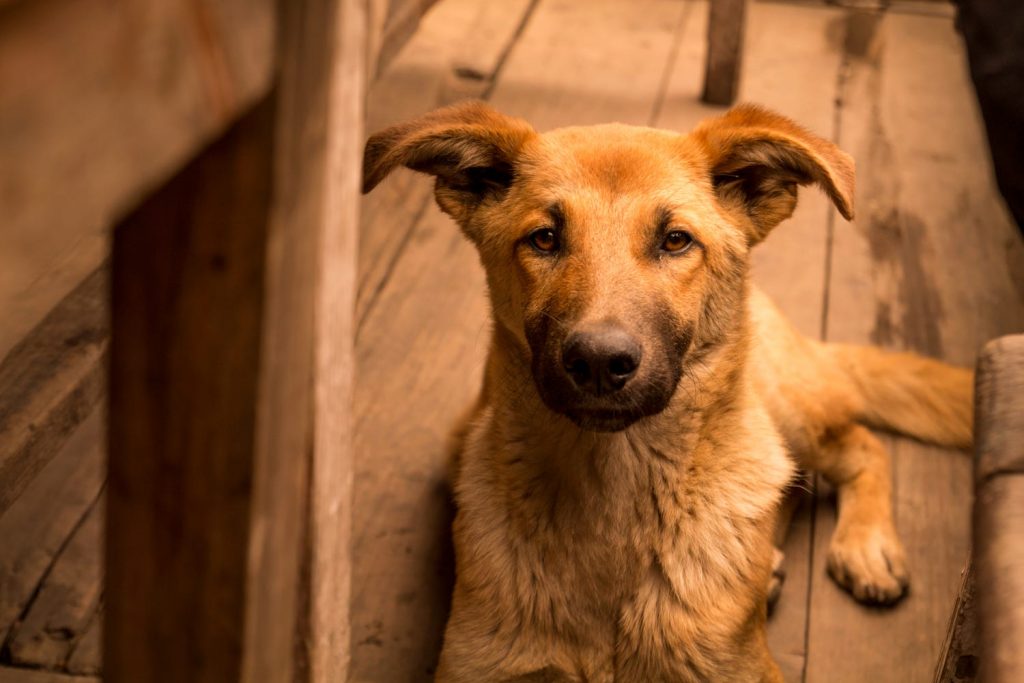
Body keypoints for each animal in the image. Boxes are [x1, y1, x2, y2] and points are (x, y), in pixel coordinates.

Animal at [362, 101, 974, 683]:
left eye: (675, 240)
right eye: (544, 238)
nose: (599, 361)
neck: (613, 495)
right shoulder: (477, 665)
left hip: (785, 406)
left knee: (859, 444)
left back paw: (867, 547)